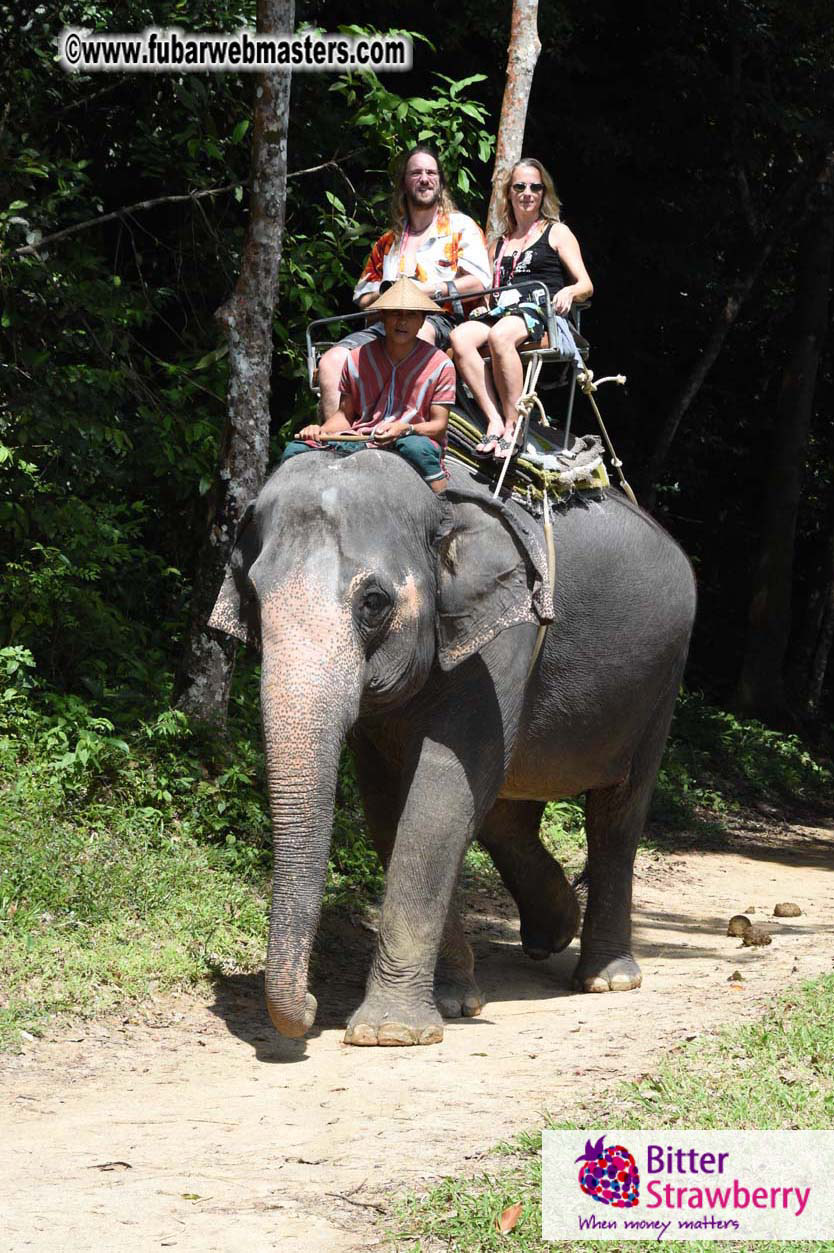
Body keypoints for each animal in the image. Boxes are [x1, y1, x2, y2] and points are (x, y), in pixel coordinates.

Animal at [208, 450, 696, 1046]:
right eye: (253, 600)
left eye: (374, 602)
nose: (309, 1003)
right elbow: (388, 811)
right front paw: (453, 1001)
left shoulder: (502, 641)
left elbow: (438, 799)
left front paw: (389, 1033)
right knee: (507, 812)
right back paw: (553, 933)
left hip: (661, 682)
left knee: (617, 815)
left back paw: (608, 979)